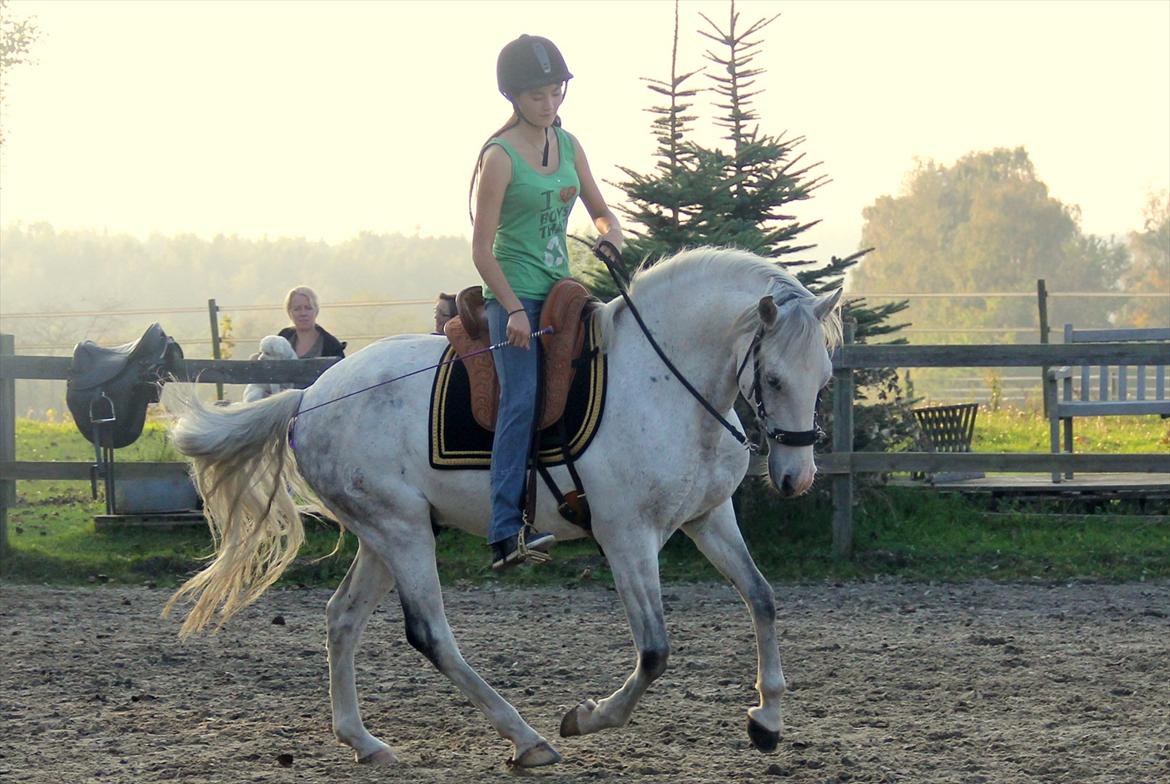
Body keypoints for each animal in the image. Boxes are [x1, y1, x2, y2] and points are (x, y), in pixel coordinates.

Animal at [162, 249, 842, 772]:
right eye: (774, 379)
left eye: (825, 376)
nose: (796, 478)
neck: (664, 383)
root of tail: (308, 397)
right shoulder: (627, 536)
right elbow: (654, 651)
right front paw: (587, 717)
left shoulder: (709, 518)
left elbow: (762, 599)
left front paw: (767, 720)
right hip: (402, 532)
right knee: (430, 634)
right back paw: (528, 739)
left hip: (384, 536)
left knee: (341, 619)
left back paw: (364, 741)